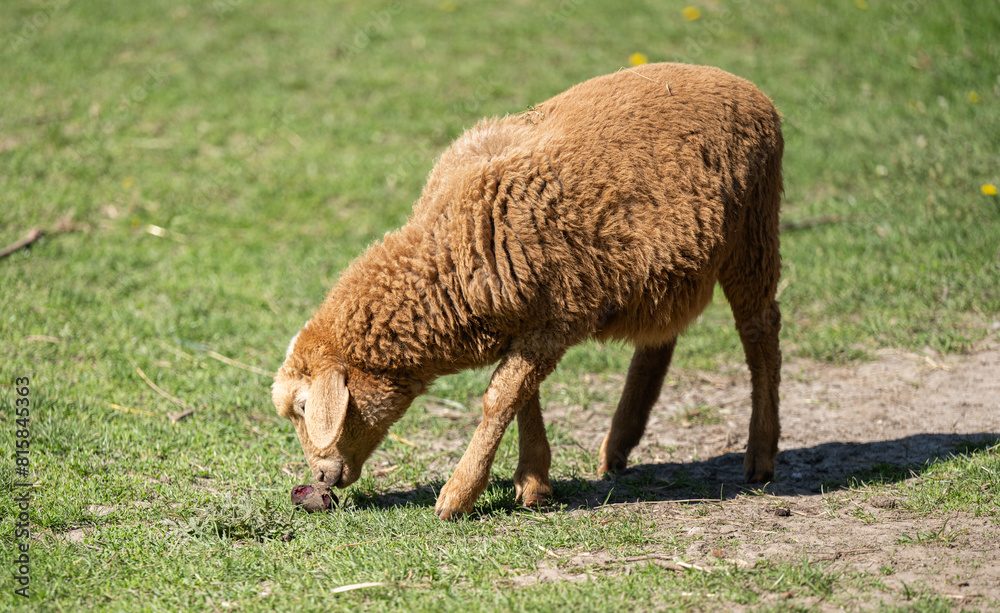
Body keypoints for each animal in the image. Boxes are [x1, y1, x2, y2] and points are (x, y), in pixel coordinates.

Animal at [272, 64, 780, 520]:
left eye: (305, 407)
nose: (320, 479)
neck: (447, 254)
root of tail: (743, 84)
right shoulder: (526, 321)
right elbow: (523, 395)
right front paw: (533, 482)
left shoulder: (555, 318)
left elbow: (500, 397)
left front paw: (458, 495)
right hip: (666, 268)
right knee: (660, 338)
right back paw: (618, 445)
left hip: (753, 229)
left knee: (760, 332)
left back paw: (761, 455)